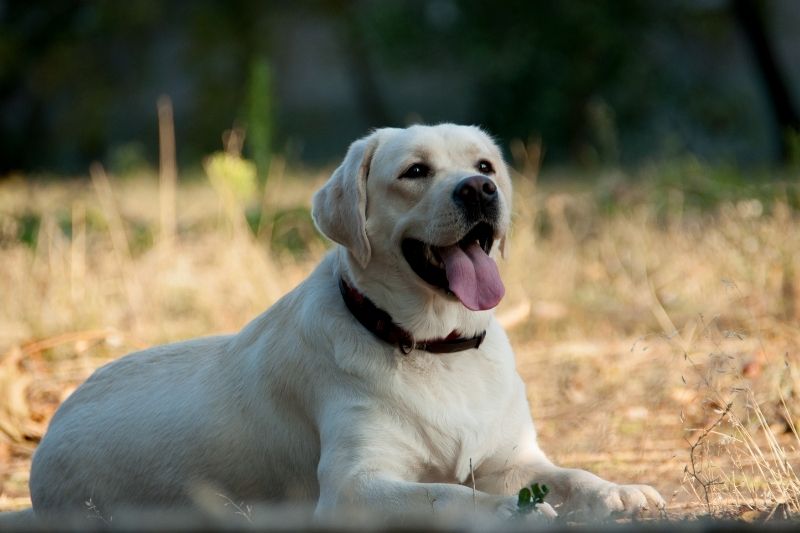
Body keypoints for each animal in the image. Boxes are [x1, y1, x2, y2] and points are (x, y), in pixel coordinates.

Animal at [26, 123, 664, 520]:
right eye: (414, 171)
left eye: (484, 165)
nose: (481, 188)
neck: (434, 345)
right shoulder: (355, 485)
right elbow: (445, 495)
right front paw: (507, 510)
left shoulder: (514, 459)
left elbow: (574, 475)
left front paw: (622, 491)